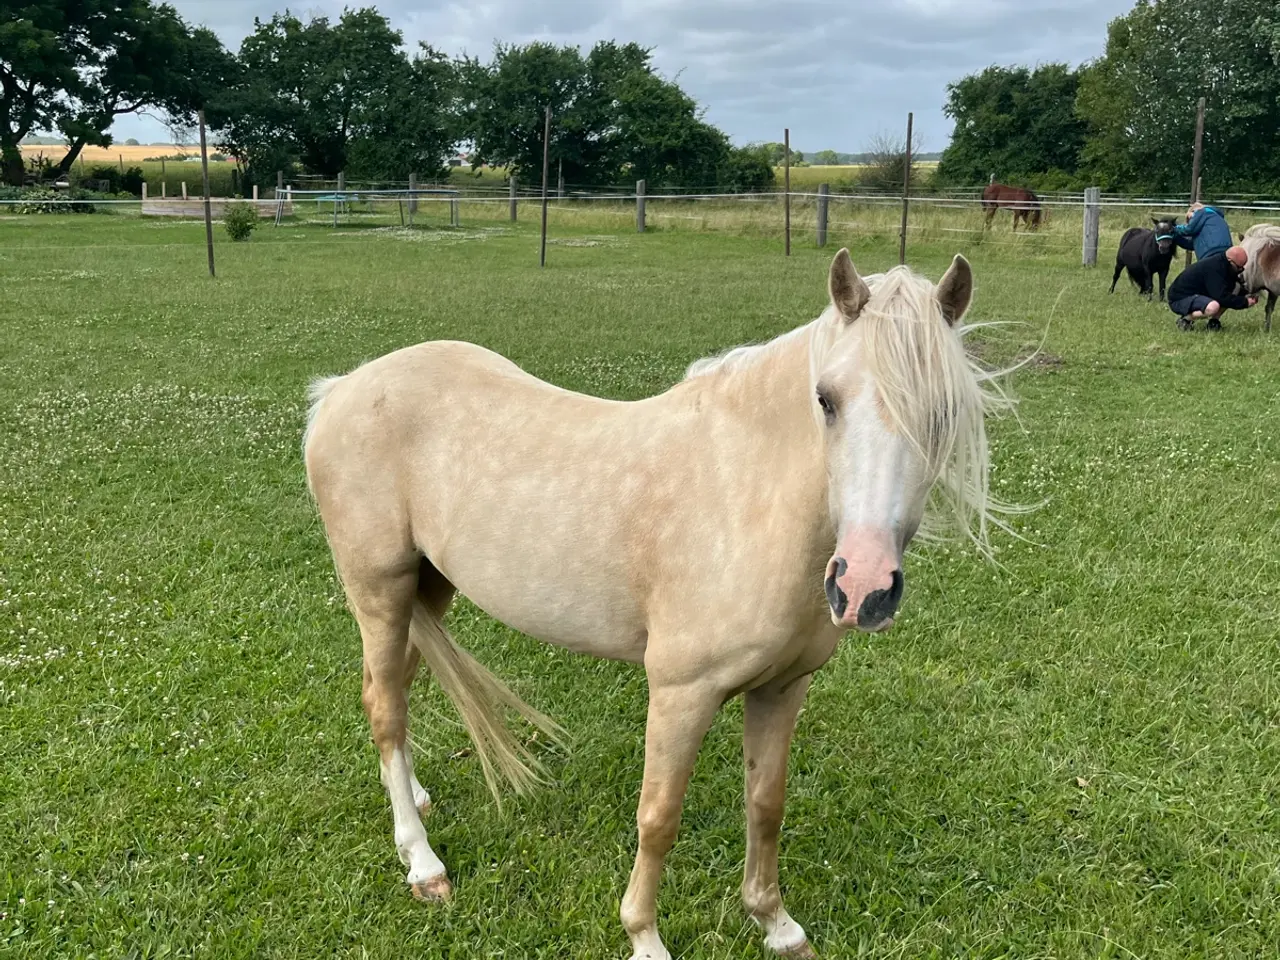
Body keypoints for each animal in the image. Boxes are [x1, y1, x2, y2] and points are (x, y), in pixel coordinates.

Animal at [302, 249, 1016, 960]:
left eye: (946, 410)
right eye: (826, 400)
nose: (862, 586)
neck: (748, 496)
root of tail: (342, 388)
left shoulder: (783, 687)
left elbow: (766, 803)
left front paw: (776, 924)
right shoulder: (682, 692)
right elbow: (659, 816)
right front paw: (644, 936)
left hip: (429, 589)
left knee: (397, 688)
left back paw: (415, 800)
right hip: (380, 590)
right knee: (385, 709)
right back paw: (423, 864)